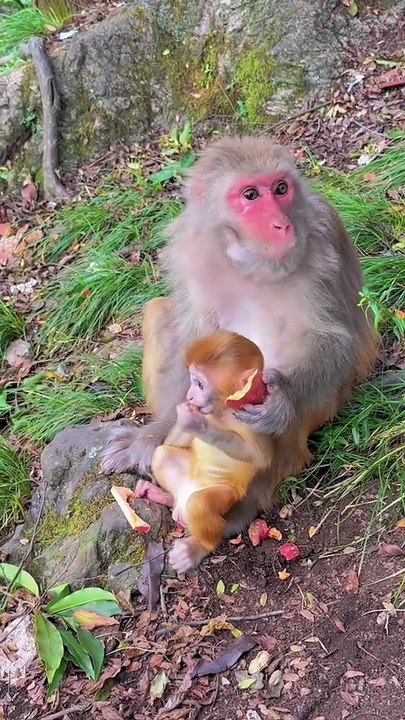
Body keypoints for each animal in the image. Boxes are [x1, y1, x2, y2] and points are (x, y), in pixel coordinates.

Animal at [101, 135, 378, 537]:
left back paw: (243, 504)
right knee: (159, 312)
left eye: (280, 189)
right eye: (250, 195)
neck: (251, 264)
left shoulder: (324, 236)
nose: (281, 225)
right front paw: (148, 438)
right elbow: (191, 331)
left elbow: (334, 339)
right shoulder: (190, 251)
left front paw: (281, 400)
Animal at [134, 330, 270, 572]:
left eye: (199, 384)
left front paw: (198, 424)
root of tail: (182, 502)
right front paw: (185, 415)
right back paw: (160, 495)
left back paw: (198, 547)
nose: (188, 396)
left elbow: (260, 457)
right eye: (192, 382)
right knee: (162, 455)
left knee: (201, 505)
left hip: (227, 496)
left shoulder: (254, 419)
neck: (222, 411)